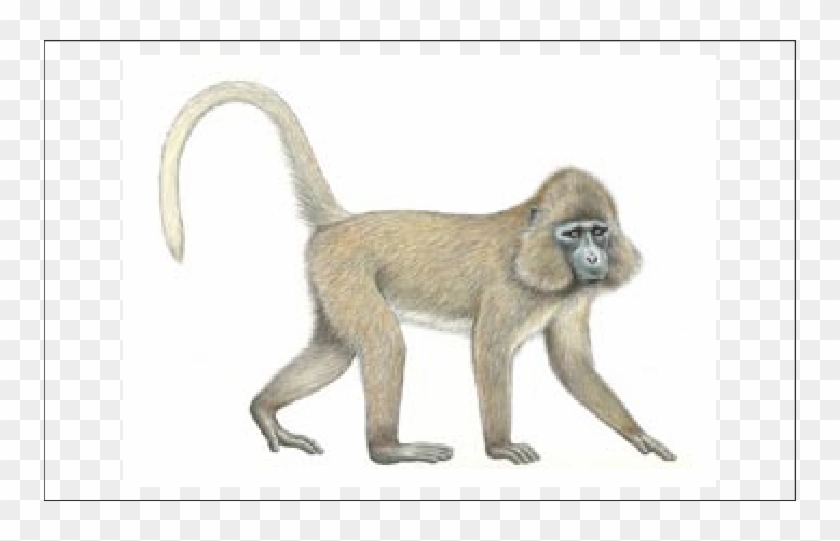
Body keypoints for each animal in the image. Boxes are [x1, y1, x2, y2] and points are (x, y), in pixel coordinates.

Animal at [158, 81, 676, 465]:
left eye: (598, 233)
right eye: (573, 235)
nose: (592, 258)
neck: (536, 249)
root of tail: (341, 222)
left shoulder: (574, 297)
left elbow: (572, 366)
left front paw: (637, 433)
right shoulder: (512, 290)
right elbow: (489, 350)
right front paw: (499, 447)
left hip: (330, 279)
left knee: (336, 350)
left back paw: (265, 410)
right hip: (346, 271)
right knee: (383, 344)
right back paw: (387, 449)